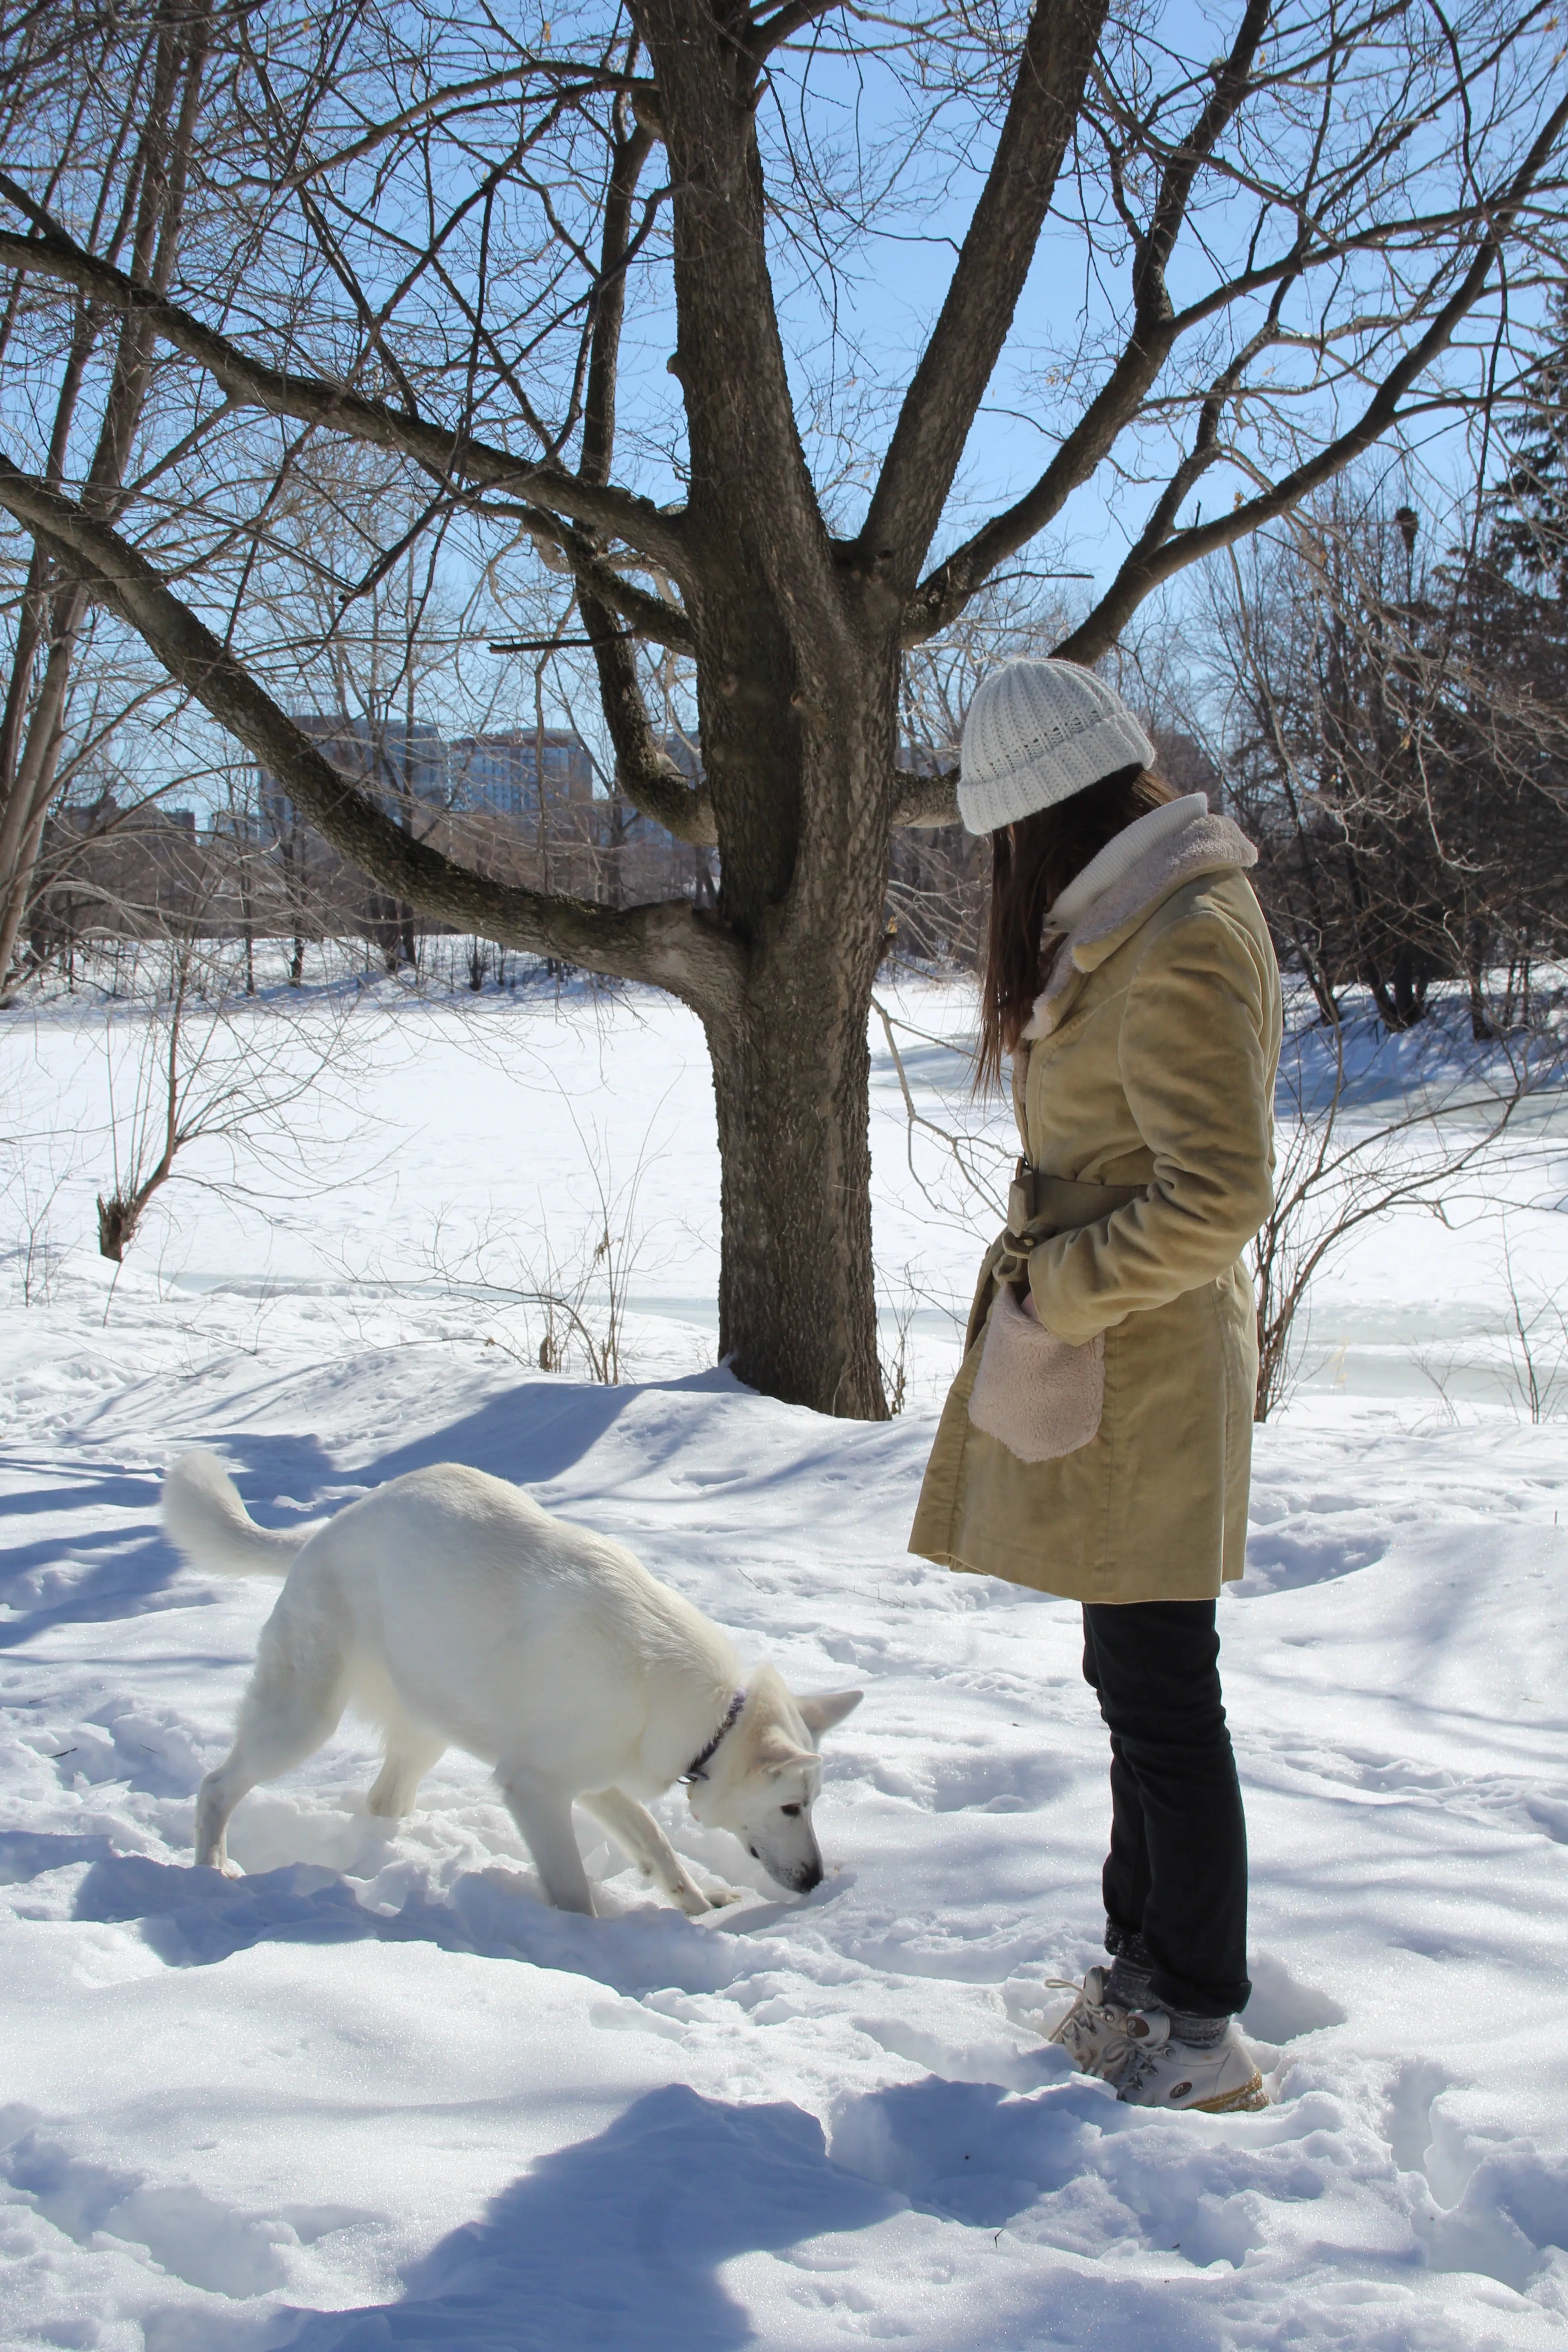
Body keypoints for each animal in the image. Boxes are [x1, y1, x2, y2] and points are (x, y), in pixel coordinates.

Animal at [162, 1449, 860, 1910]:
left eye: (814, 1805)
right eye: (792, 1806)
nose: (817, 1881)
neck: (707, 1712)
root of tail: (322, 1533)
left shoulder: (592, 1780)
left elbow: (656, 1842)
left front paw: (699, 1905)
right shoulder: (535, 1789)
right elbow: (575, 1890)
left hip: (431, 1723)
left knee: (383, 1800)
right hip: (303, 1719)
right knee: (217, 1788)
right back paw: (212, 1870)